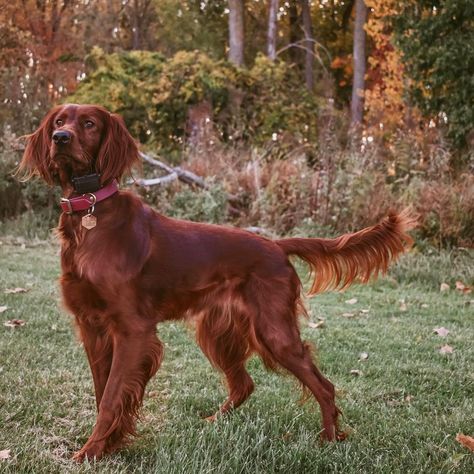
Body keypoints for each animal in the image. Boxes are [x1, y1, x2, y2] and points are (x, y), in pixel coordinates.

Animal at [21, 104, 414, 462]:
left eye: (88, 123)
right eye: (59, 121)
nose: (60, 138)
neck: (92, 214)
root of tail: (276, 245)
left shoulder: (132, 330)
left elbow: (112, 396)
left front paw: (90, 452)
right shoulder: (93, 328)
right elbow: (103, 392)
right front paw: (109, 446)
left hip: (273, 331)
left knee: (323, 385)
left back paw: (330, 440)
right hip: (218, 330)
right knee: (244, 384)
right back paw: (214, 421)